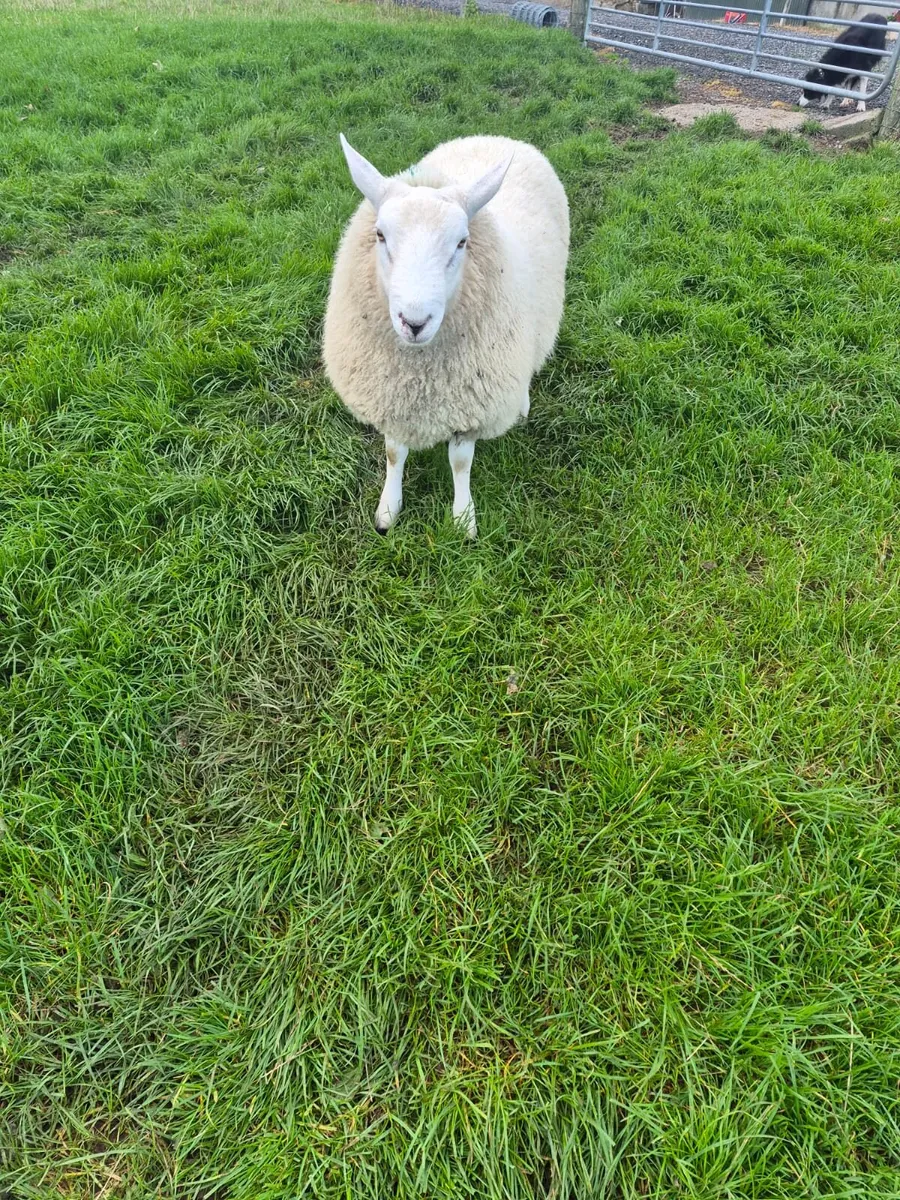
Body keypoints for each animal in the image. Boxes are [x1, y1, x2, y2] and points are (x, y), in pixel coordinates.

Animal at [322, 133, 569, 538]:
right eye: (380, 235)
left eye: (462, 242)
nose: (414, 321)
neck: (421, 378)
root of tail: (497, 137)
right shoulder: (391, 398)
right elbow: (394, 453)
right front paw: (388, 509)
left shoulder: (471, 408)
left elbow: (460, 462)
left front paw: (463, 518)